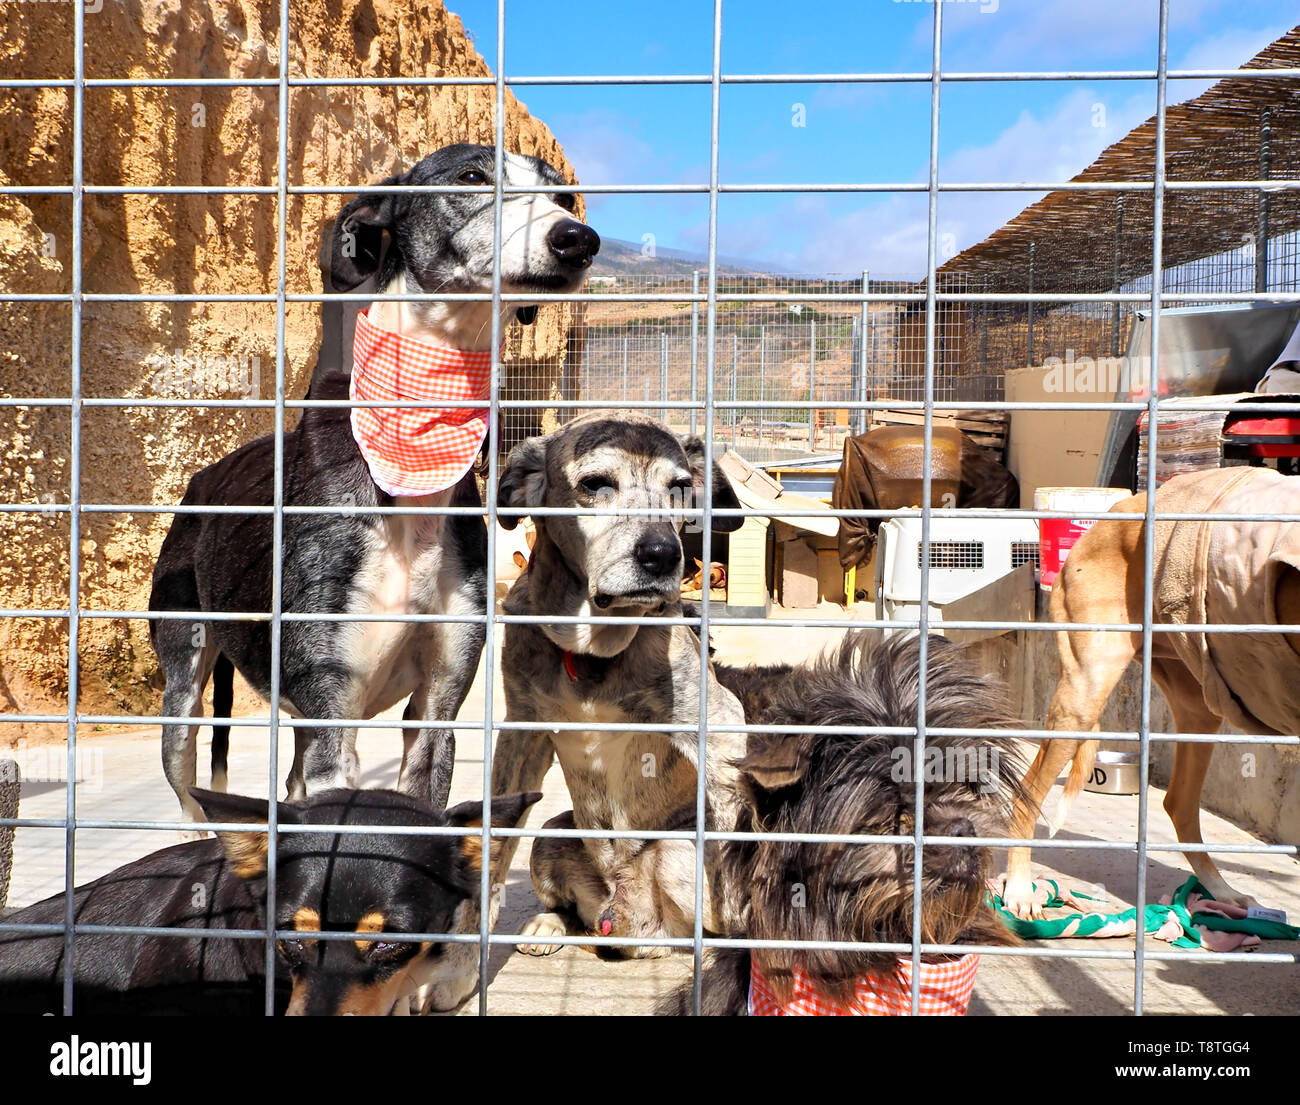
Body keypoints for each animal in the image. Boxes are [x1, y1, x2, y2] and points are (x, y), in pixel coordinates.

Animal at [148, 144, 603, 816]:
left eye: (563, 196)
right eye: (471, 176)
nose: (578, 240)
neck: (413, 453)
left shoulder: (437, 710)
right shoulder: (331, 710)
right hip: (183, 688)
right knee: (192, 789)